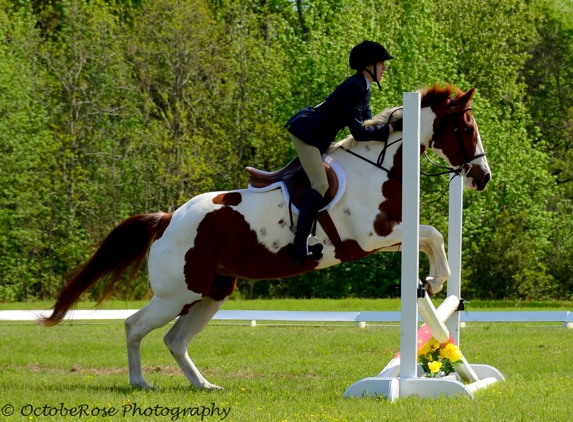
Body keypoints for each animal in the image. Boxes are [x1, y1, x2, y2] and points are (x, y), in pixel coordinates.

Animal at [38, 83, 490, 390]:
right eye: (466, 128)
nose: (482, 178)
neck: (380, 167)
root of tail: (167, 219)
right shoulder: (371, 235)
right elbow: (431, 233)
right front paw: (435, 280)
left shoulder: (389, 236)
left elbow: (430, 237)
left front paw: (432, 279)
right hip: (178, 293)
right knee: (135, 326)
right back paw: (140, 383)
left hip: (213, 291)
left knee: (175, 339)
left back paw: (205, 386)